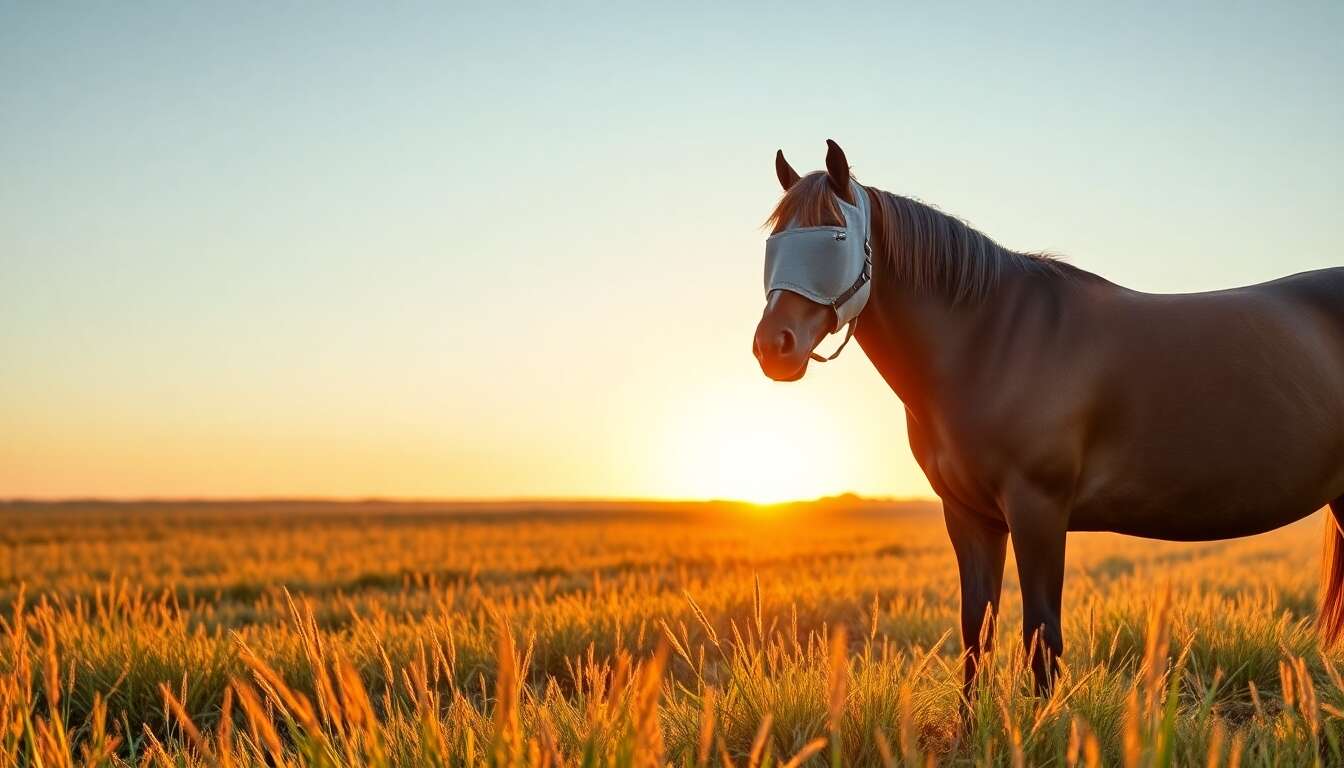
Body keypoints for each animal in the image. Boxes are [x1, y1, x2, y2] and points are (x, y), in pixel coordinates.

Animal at [753, 139, 1344, 696]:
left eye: (835, 236)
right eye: (774, 241)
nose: (773, 346)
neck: (992, 339)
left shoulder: (1037, 510)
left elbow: (1041, 638)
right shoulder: (969, 515)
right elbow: (977, 633)